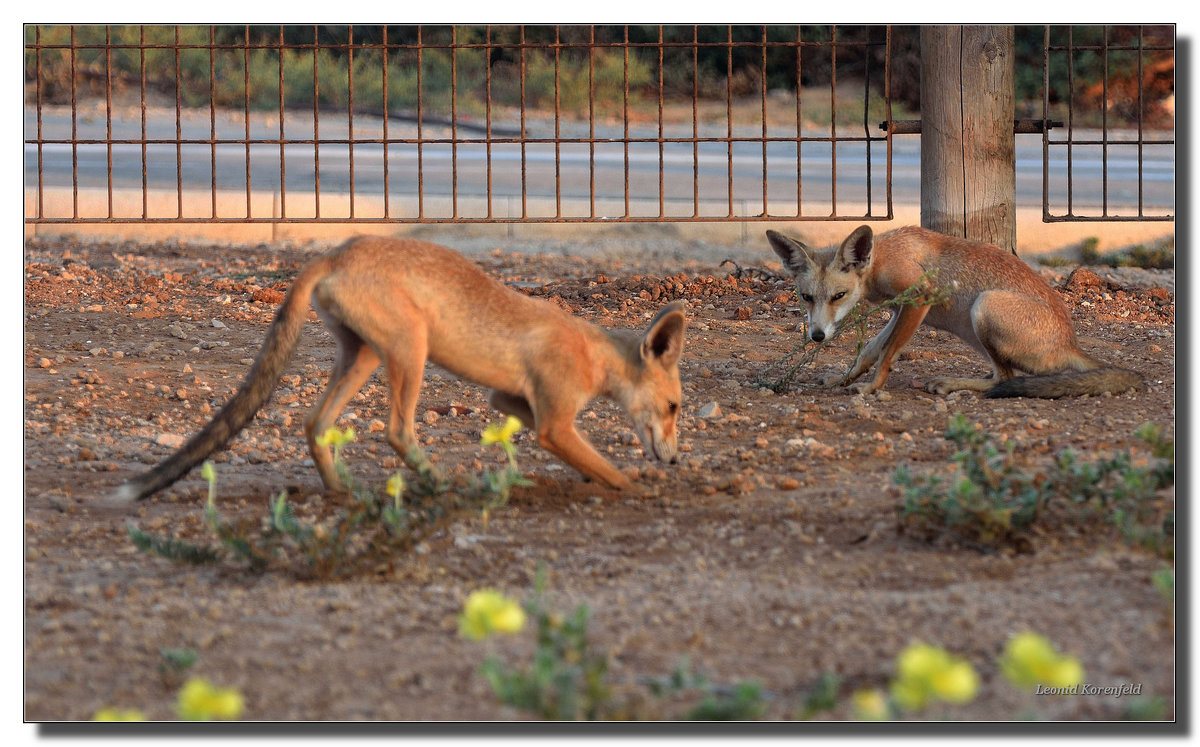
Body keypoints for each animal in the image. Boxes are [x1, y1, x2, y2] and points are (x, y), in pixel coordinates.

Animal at [120, 236, 691, 504]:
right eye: (674, 407)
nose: (674, 460)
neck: (592, 355)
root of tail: (337, 252)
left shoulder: (510, 401)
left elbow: (581, 452)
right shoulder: (553, 422)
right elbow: (603, 465)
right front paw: (636, 487)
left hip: (365, 357)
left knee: (315, 423)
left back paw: (341, 492)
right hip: (410, 350)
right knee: (397, 431)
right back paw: (438, 483)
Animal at [768, 225, 1142, 401]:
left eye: (839, 296)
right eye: (806, 297)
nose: (817, 336)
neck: (881, 258)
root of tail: (1070, 343)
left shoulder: (918, 299)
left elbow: (887, 355)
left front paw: (871, 388)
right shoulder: (899, 310)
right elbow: (870, 352)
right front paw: (843, 379)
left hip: (984, 306)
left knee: (1005, 378)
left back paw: (952, 384)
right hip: (973, 330)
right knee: (1002, 374)